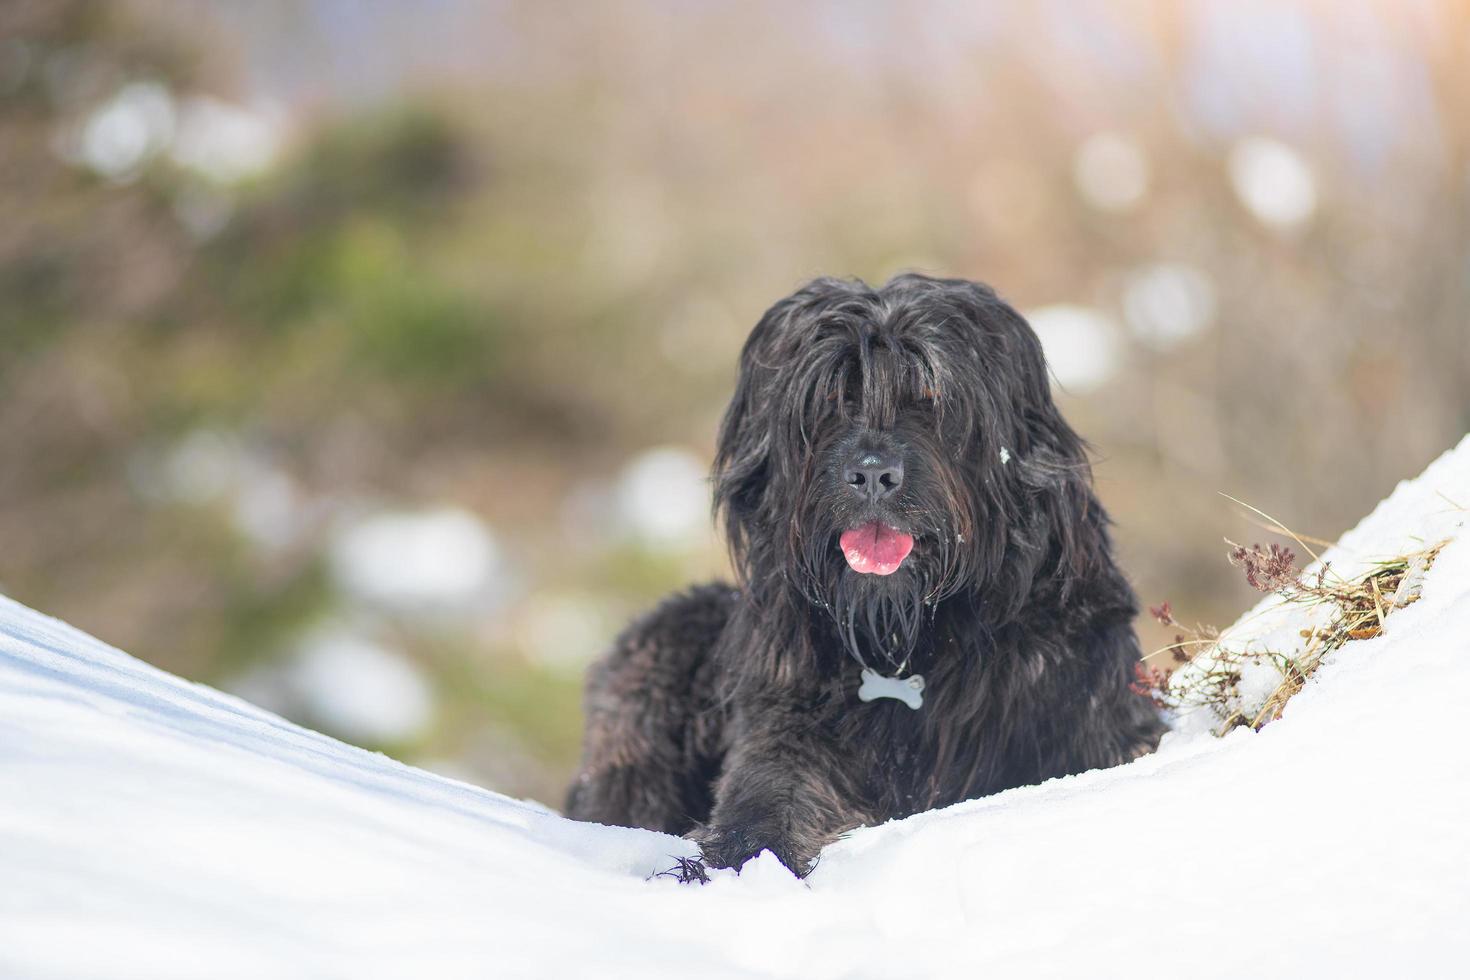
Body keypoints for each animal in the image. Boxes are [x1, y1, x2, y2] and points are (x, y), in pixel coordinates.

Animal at [567, 271, 1164, 875]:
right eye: (832, 397)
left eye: (931, 396)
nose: (873, 474)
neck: (906, 642)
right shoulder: (783, 722)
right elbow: (767, 797)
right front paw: (739, 857)